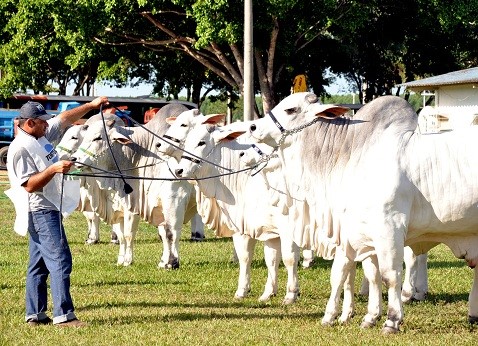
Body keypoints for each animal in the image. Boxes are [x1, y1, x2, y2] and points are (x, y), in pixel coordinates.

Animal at [71, 104, 204, 268]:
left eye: (98, 137)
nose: (74, 158)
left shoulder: (173, 200)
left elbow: (168, 233)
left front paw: (170, 263)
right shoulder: (124, 206)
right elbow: (124, 235)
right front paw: (123, 260)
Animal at [248, 92, 478, 332]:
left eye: (290, 109)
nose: (253, 126)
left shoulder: (389, 228)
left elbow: (390, 276)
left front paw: (392, 320)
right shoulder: (355, 233)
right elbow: (358, 275)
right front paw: (362, 317)